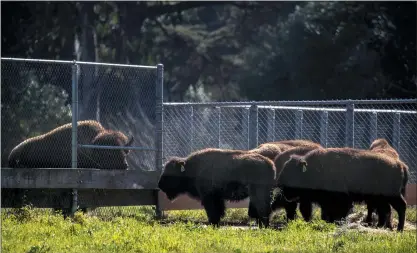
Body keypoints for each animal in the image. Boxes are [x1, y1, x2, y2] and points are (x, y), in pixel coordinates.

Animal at [276, 147, 406, 232]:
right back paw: (380, 227)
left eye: (292, 173)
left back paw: (399, 229)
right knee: (385, 210)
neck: (313, 168)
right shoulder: (316, 201)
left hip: (391, 196)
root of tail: (399, 165)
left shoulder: (341, 200)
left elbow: (338, 213)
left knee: (400, 207)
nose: (281, 186)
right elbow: (313, 212)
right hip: (380, 199)